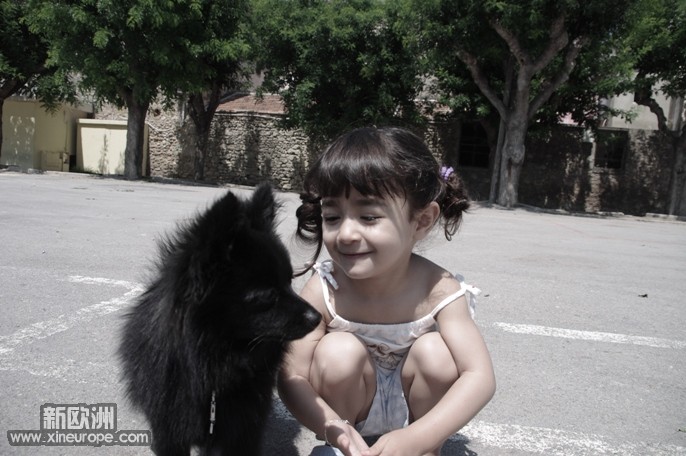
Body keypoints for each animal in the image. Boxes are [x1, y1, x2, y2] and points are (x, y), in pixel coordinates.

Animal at [118, 184, 321, 455]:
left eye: (289, 282)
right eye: (268, 295)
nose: (317, 317)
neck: (215, 361)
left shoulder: (243, 430)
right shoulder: (169, 430)